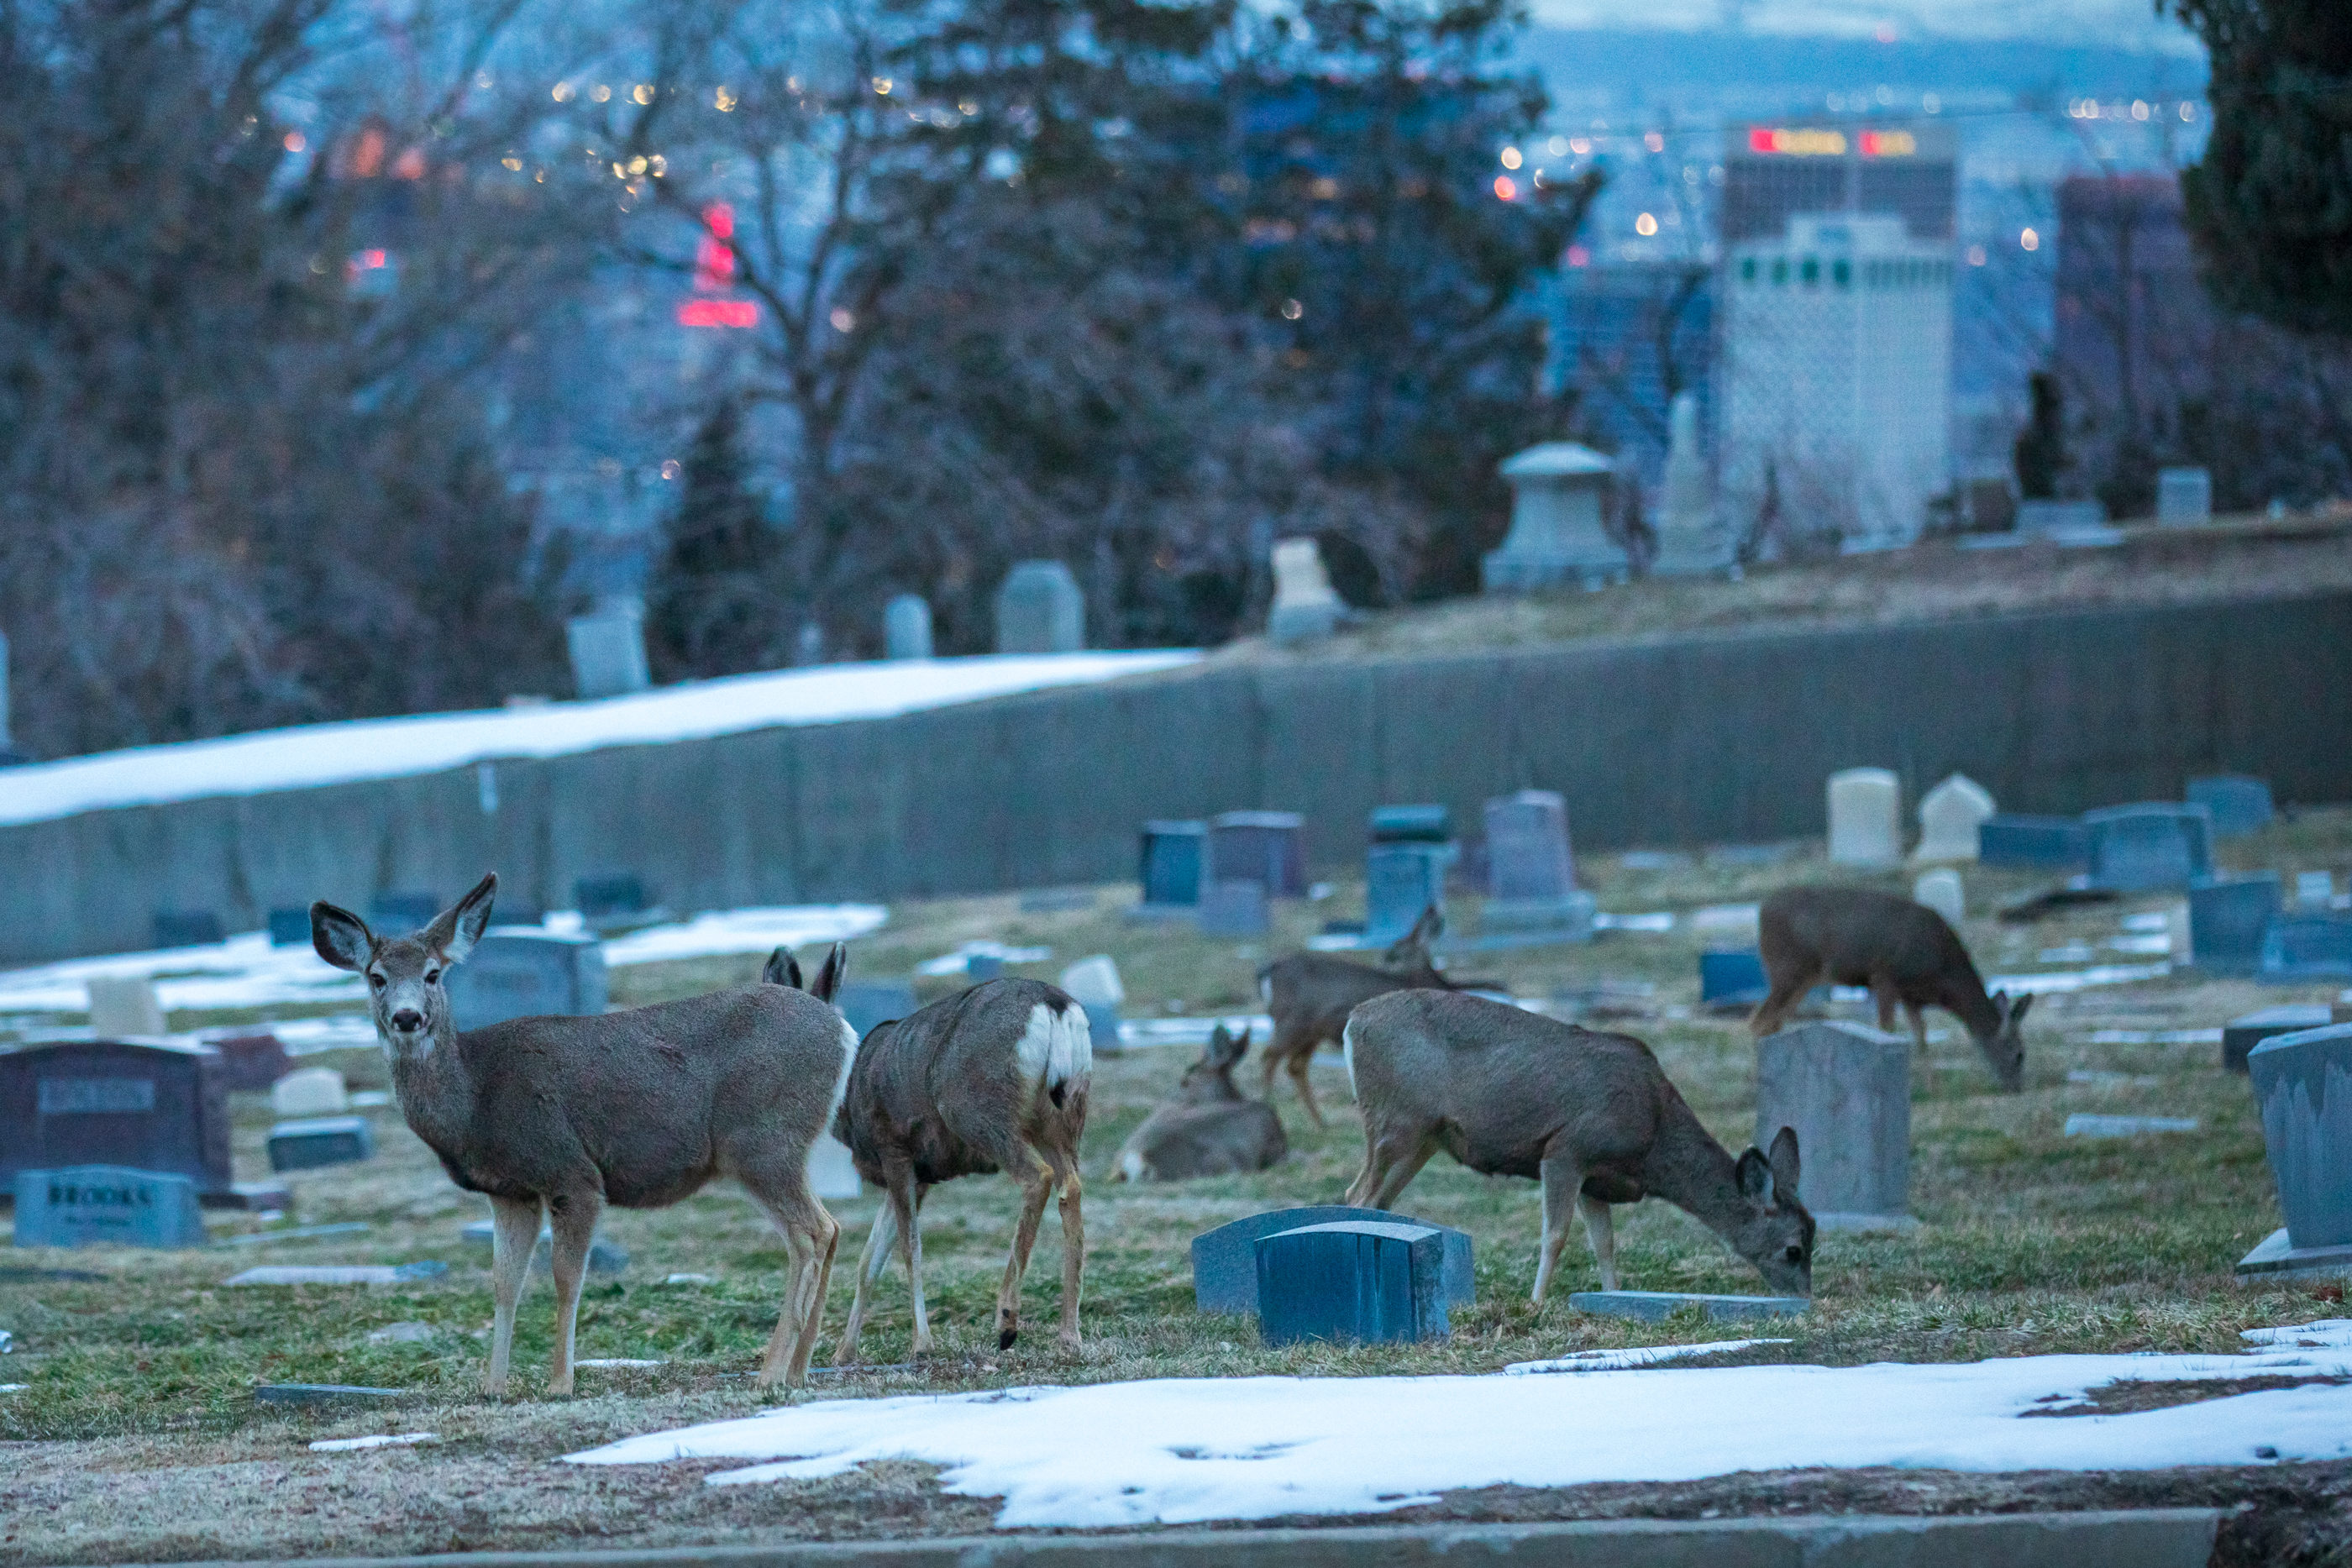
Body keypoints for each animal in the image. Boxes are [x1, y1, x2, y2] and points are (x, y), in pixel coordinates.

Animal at [310, 873, 850, 1398]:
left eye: (432, 973)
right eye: (376, 977)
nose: (408, 1017)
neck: (474, 1099)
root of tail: (843, 1030)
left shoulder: (570, 1170)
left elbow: (566, 1278)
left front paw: (560, 1383)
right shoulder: (509, 1191)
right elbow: (505, 1282)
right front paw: (492, 1386)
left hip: (762, 1141)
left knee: (812, 1232)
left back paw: (771, 1373)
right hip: (774, 1149)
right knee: (829, 1227)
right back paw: (799, 1371)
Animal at [821, 972, 1091, 1364]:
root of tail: (1054, 1006)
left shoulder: (896, 1151)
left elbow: (909, 1247)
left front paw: (921, 1344)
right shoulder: (919, 1175)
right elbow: (870, 1258)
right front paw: (844, 1352)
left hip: (973, 1109)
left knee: (1038, 1175)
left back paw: (1006, 1321)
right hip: (1062, 1119)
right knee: (1071, 1187)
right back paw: (1069, 1336)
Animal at [1258, 905, 1472, 1128]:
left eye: (1394, 952)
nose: (1384, 960)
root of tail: (1267, 971)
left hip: (1311, 1032)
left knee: (1294, 1066)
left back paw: (1321, 1123)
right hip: (1292, 1020)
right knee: (1270, 1057)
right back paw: (1270, 1104)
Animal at [1342, 988, 1814, 1301]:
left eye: (1814, 1241)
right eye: (1793, 1250)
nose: (1805, 1299)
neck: (1652, 1140)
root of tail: (1353, 1020)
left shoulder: (1597, 1179)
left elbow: (1604, 1242)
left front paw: (1614, 1297)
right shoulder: (1567, 1149)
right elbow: (1555, 1235)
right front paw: (1536, 1303)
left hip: (1425, 1138)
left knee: (1376, 1199)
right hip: (1394, 1118)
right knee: (1356, 1193)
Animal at [1750, 885, 2030, 1091]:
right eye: (2019, 1054)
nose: (2017, 1088)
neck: (1942, 974)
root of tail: (1762, 910)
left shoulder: (1911, 997)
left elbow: (1921, 1037)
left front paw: (1932, 1088)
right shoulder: (1885, 976)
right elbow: (1888, 1029)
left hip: (1803, 979)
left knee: (1773, 1023)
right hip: (1787, 969)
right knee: (1758, 1022)